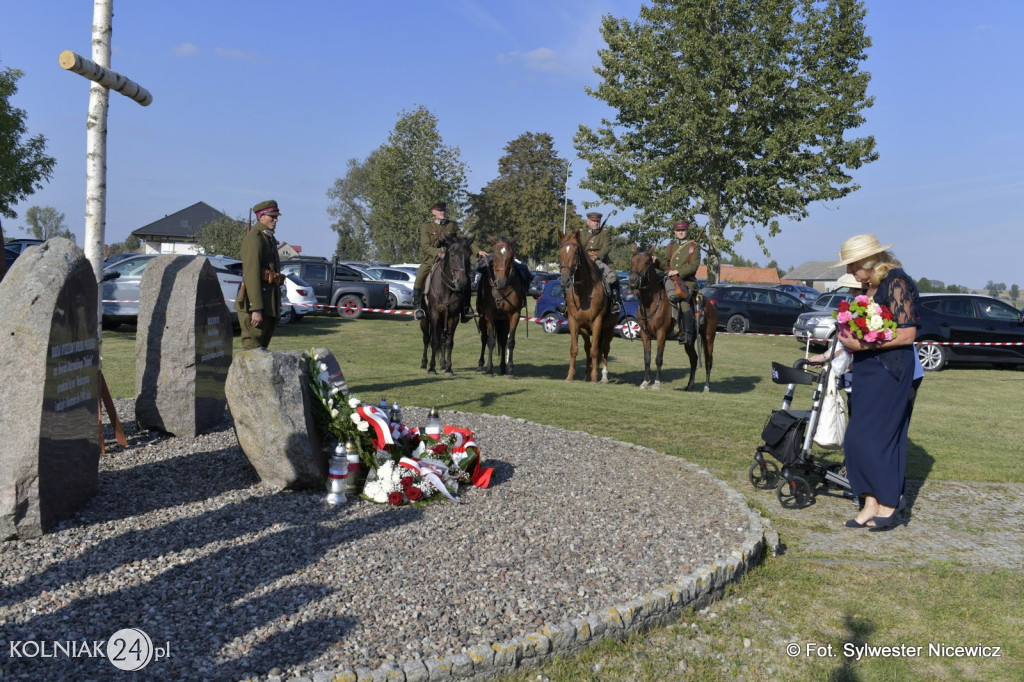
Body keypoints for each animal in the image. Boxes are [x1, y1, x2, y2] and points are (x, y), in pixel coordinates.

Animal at [419, 233, 471, 372]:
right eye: (452, 254)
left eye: (468, 255)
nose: (461, 282)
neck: (446, 289)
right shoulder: (434, 315)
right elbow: (434, 341)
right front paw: (431, 368)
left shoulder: (453, 316)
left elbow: (449, 342)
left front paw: (448, 368)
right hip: (425, 319)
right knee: (426, 338)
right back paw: (424, 363)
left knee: (443, 338)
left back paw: (442, 364)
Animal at [473, 236, 524, 376]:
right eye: (495, 255)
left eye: (511, 255)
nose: (501, 282)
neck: (502, 289)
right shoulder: (489, 315)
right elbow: (490, 341)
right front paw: (489, 369)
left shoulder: (514, 315)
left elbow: (510, 342)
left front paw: (510, 370)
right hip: (483, 319)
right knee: (484, 339)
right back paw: (480, 365)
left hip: (503, 321)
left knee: (502, 340)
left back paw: (502, 367)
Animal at [557, 231, 610, 382]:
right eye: (560, 252)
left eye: (575, 252)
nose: (565, 280)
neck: (585, 292)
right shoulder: (573, 321)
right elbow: (574, 349)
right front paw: (570, 376)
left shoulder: (597, 321)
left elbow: (595, 351)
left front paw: (594, 377)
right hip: (585, 329)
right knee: (587, 347)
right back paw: (587, 373)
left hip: (608, 328)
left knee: (604, 349)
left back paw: (604, 376)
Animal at [622, 246, 720, 391]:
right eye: (632, 260)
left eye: (646, 262)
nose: (633, 281)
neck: (651, 303)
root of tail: (711, 306)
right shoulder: (645, 335)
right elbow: (647, 358)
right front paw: (645, 382)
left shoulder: (661, 334)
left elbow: (658, 359)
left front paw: (656, 383)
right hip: (689, 341)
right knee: (694, 359)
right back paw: (690, 385)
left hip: (708, 337)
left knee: (708, 360)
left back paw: (706, 387)